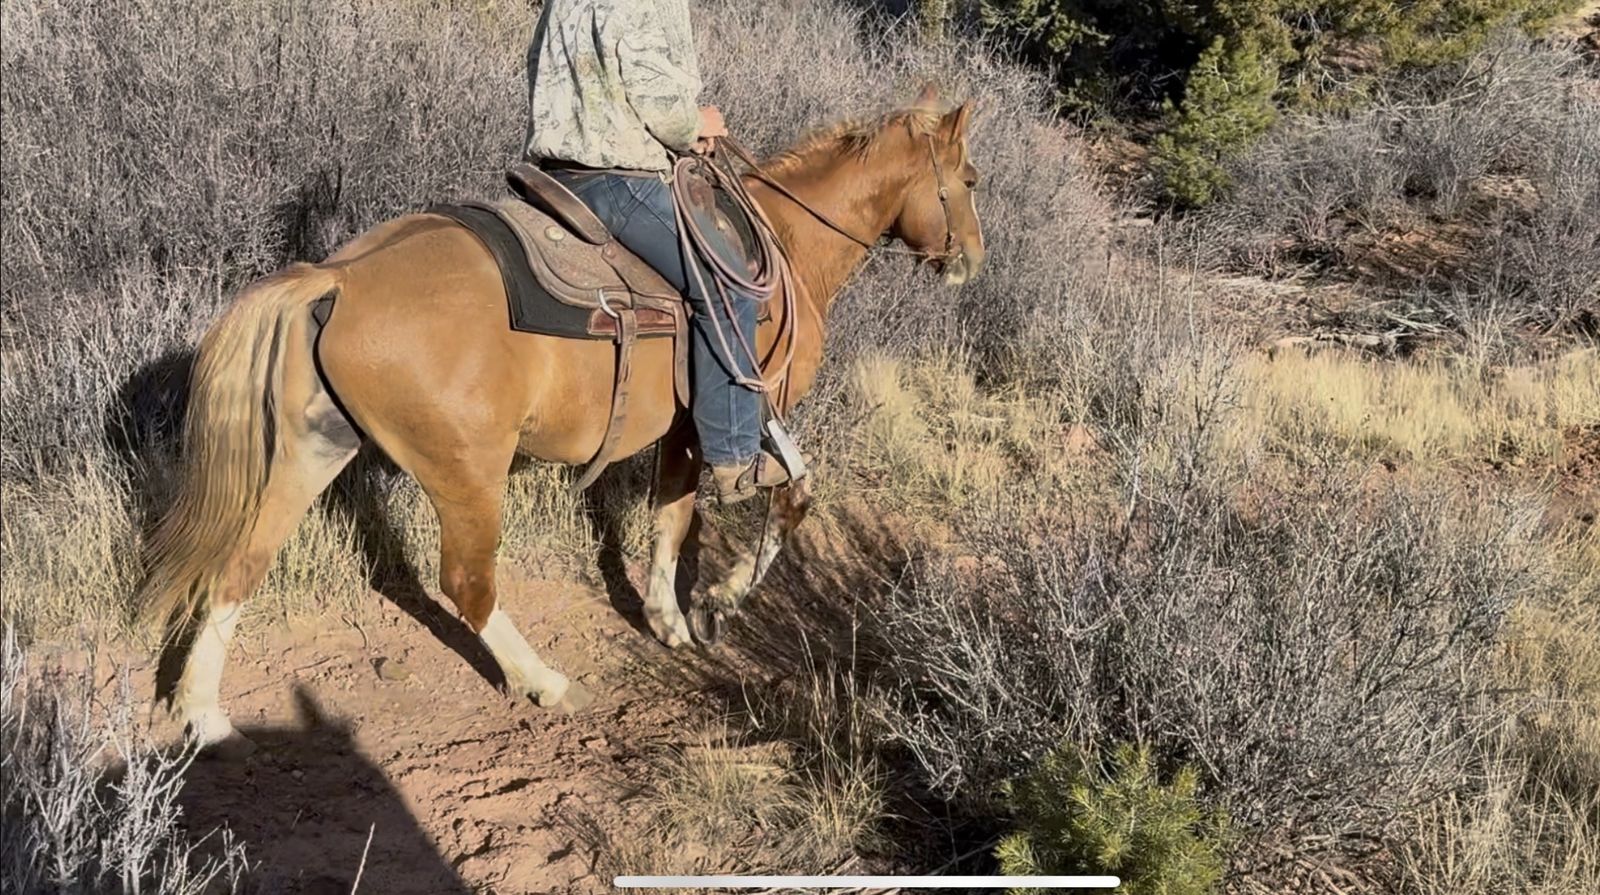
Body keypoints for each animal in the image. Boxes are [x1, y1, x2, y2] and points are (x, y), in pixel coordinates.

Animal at [140, 85, 986, 754]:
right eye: (970, 179)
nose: (971, 261)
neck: (784, 245)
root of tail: (337, 277)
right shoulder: (751, 403)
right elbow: (789, 498)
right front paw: (717, 601)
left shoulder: (685, 428)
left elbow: (672, 515)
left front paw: (668, 617)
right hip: (467, 473)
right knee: (467, 583)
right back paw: (545, 680)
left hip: (312, 451)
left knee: (240, 563)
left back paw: (202, 712)